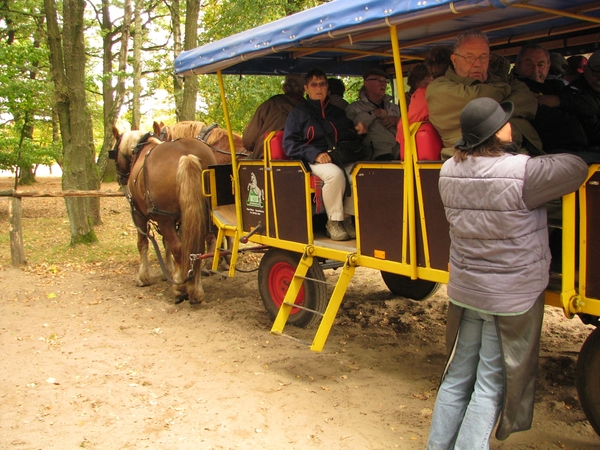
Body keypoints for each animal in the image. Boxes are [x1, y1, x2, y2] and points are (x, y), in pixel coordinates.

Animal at [110, 126, 218, 304]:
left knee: (180, 249)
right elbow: (168, 244)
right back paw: (195, 288)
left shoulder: (139, 215)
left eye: (114, 151)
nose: (120, 177)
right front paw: (171, 271)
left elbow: (143, 244)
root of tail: (186, 155)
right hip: (202, 215)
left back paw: (181, 288)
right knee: (197, 249)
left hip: (164, 218)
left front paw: (143, 277)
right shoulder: (179, 219)